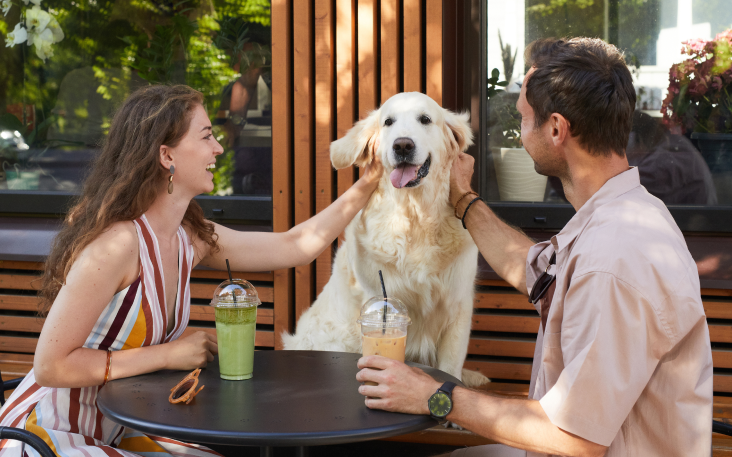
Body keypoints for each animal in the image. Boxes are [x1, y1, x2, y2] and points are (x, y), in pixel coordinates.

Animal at [284, 91, 488, 386]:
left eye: (425, 119)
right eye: (388, 122)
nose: (402, 145)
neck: (414, 217)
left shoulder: (458, 306)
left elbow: (450, 368)